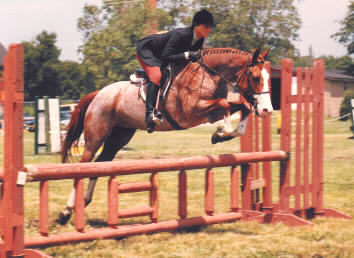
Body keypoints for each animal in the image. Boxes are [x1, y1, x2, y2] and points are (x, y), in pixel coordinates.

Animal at [57, 46, 274, 224]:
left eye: (269, 78)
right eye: (256, 77)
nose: (266, 110)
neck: (208, 75)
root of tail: (98, 93)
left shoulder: (210, 112)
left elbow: (241, 107)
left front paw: (221, 135)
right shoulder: (192, 112)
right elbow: (225, 105)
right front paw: (221, 133)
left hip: (118, 137)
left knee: (100, 164)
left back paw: (82, 202)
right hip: (96, 136)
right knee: (84, 165)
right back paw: (66, 212)